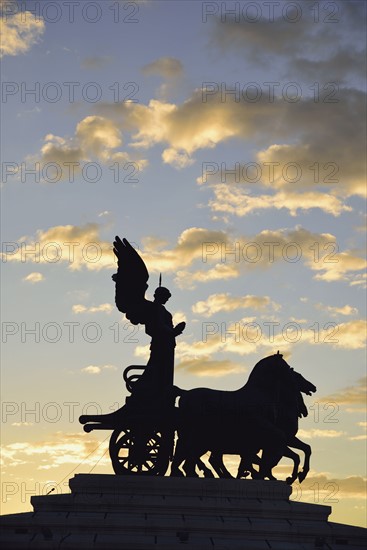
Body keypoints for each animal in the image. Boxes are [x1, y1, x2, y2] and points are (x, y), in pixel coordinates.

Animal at [171, 356, 318, 486]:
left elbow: (304, 449)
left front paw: (296, 475)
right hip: (200, 437)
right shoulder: (270, 434)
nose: (313, 387)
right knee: (192, 453)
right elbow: (275, 454)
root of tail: (185, 394)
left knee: (193, 456)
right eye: (288, 368)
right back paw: (203, 473)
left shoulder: (268, 441)